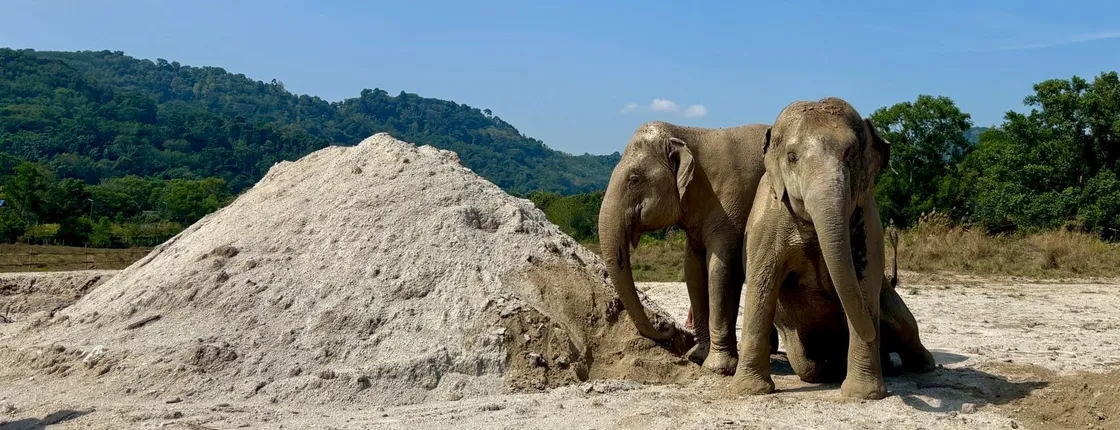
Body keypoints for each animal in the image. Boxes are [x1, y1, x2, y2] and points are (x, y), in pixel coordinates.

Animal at [599, 120, 777, 375]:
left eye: (634, 179)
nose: (667, 325)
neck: (686, 133)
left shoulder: (731, 205)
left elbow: (721, 269)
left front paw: (718, 368)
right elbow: (692, 270)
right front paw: (697, 357)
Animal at [727, 97, 935, 400]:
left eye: (851, 155)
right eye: (792, 157)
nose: (874, 335)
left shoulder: (868, 218)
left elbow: (865, 283)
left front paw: (863, 395)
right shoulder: (765, 219)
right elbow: (761, 283)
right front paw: (750, 390)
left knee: (906, 325)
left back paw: (917, 365)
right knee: (808, 365)